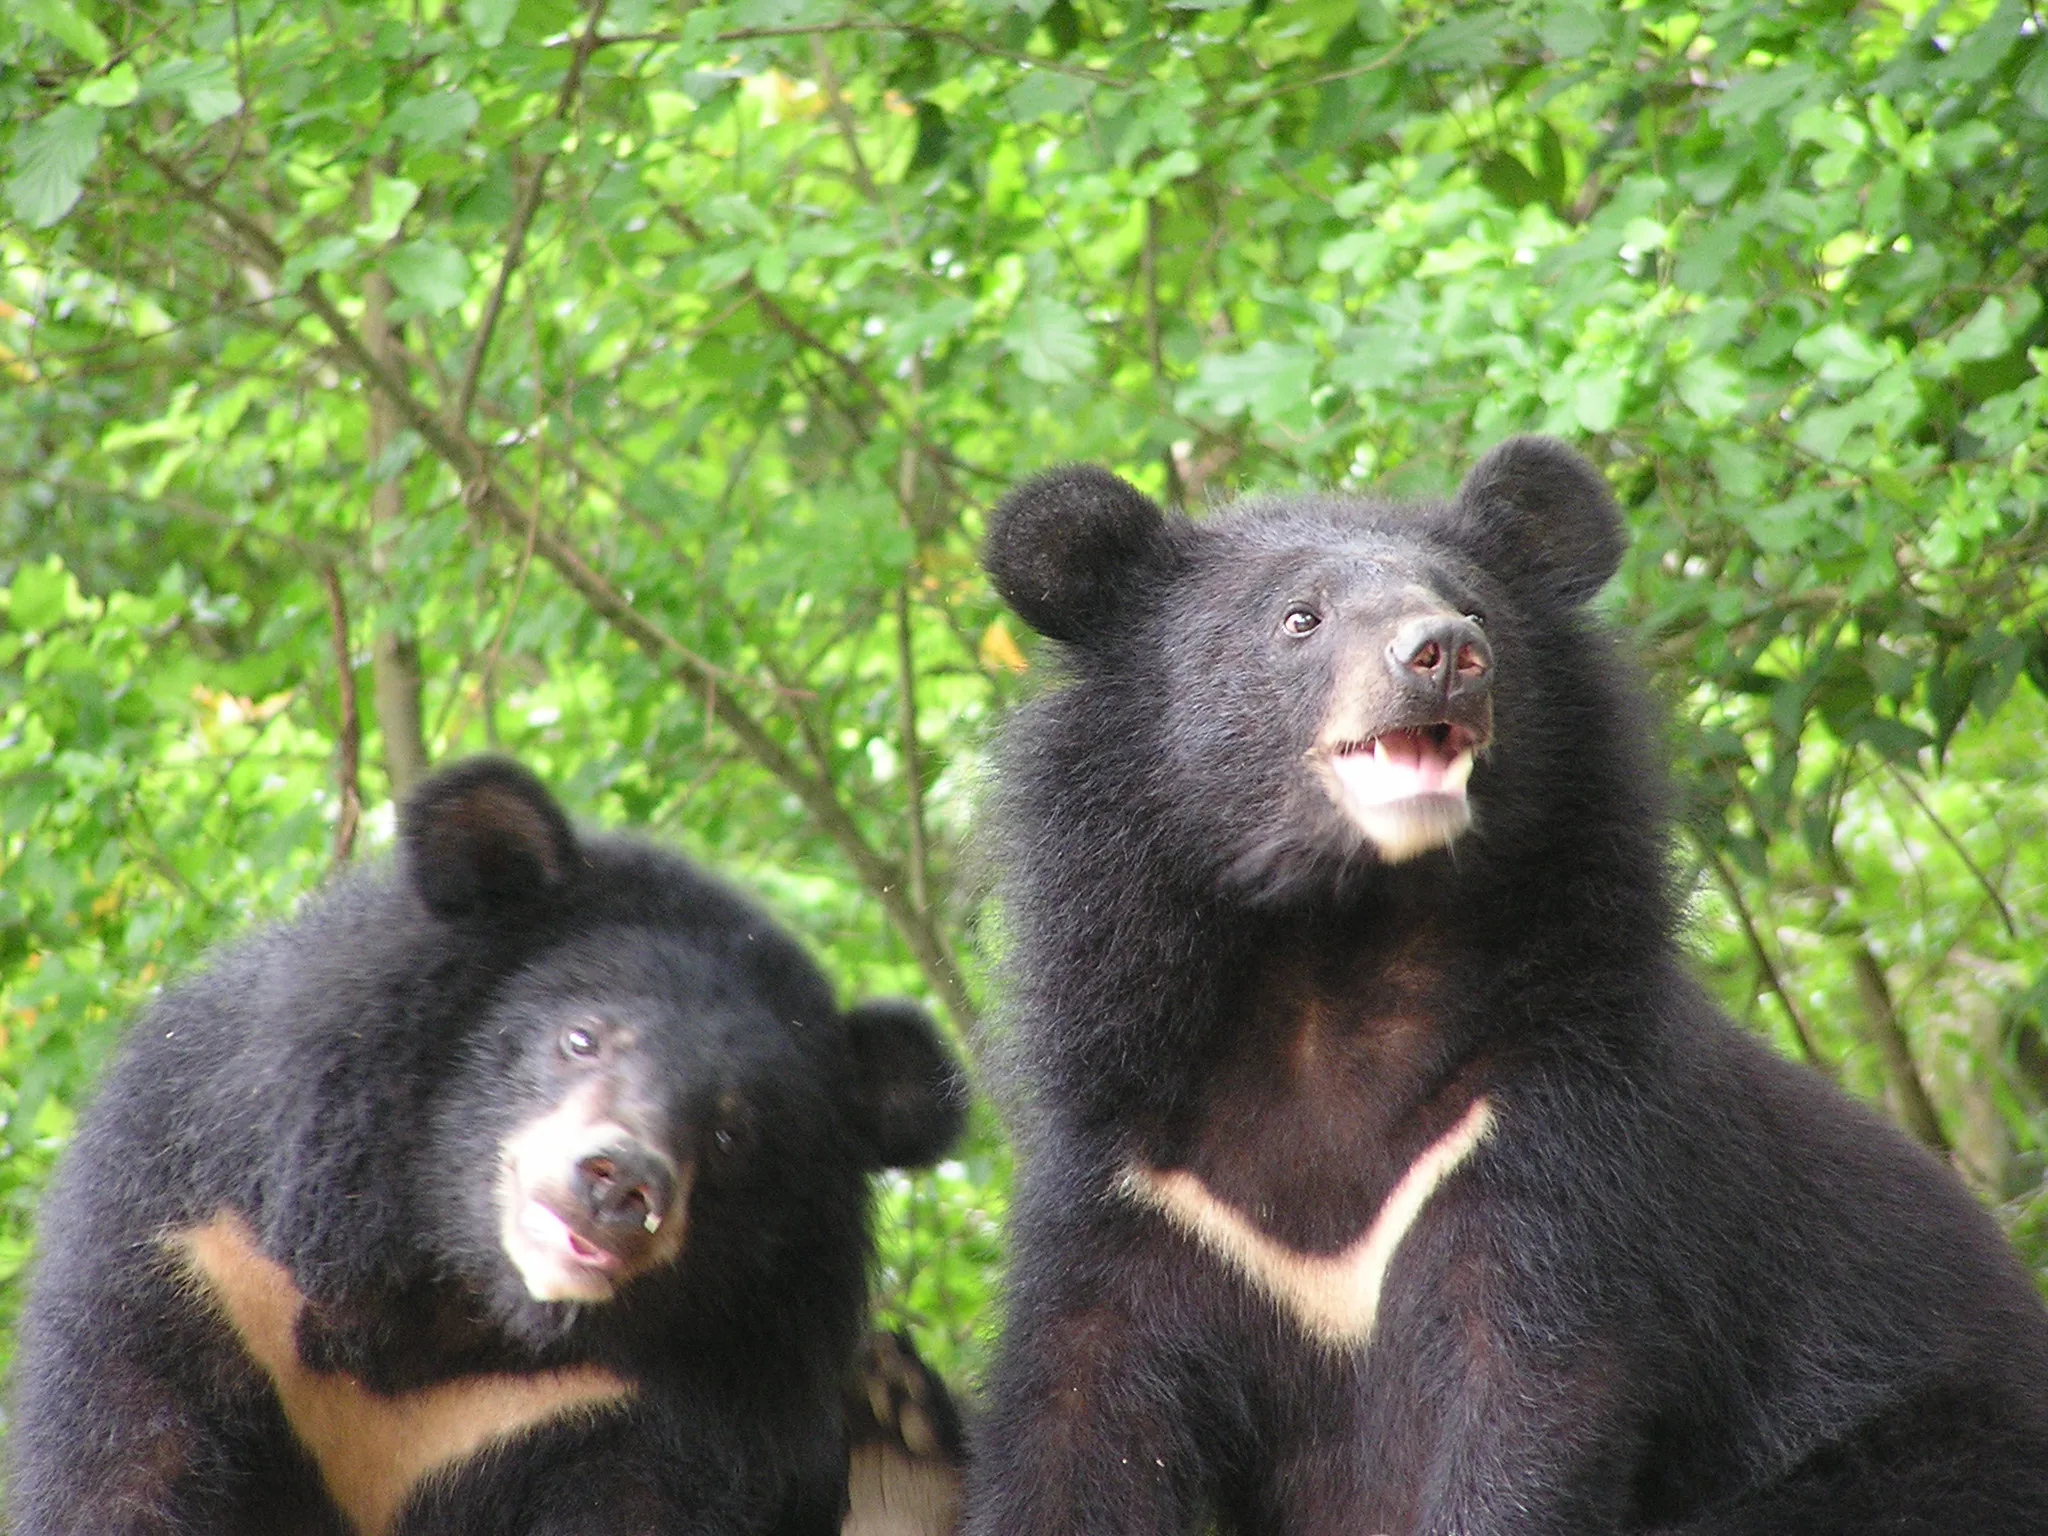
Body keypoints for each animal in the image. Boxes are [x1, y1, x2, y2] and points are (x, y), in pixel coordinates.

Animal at [10, 755, 968, 1536]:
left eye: (734, 1132)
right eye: (581, 1038)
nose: (619, 1183)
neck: (454, 1301)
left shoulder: (634, 1411)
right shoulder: (211, 1259)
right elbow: (121, 1464)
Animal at [964, 438, 2048, 1536]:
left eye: (1473, 609)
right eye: (1300, 617)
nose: (1441, 652)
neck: (1335, 959)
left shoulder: (1549, 1136)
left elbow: (1527, 1401)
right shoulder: (1143, 1182)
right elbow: (1079, 1422)